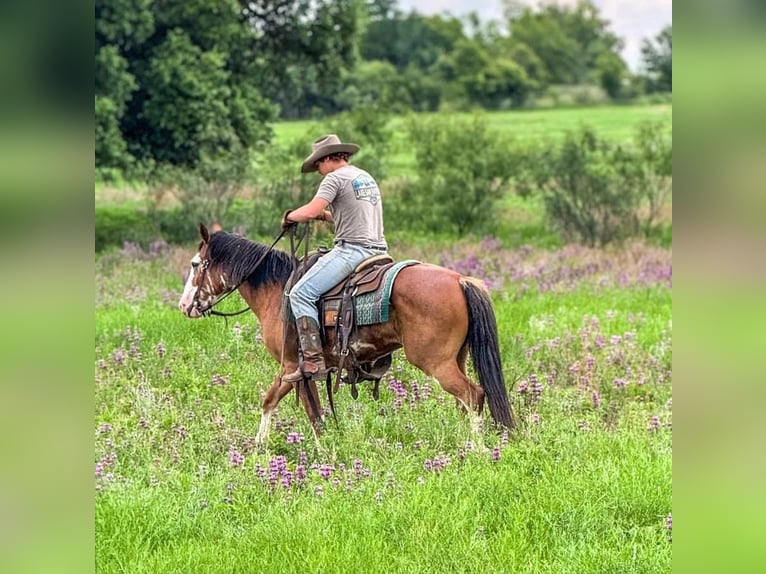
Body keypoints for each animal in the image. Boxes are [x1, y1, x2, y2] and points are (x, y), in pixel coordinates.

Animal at [178, 225, 516, 446]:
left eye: (195, 264)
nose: (184, 305)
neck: (278, 292)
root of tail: (461, 279)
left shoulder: (292, 366)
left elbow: (303, 411)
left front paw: (317, 452)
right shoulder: (296, 370)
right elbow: (279, 403)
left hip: (436, 363)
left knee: (473, 395)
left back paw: (477, 449)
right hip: (456, 358)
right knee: (465, 401)